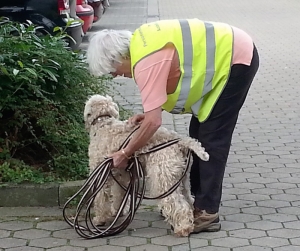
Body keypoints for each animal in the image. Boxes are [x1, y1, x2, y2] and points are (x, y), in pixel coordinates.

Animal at [82, 94, 209, 237]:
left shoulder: (101, 174)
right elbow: (119, 194)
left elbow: (100, 199)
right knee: (188, 199)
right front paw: (118, 211)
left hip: (163, 179)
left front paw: (100, 219)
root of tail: (180, 141)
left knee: (177, 204)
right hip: (182, 178)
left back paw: (183, 228)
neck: (103, 124)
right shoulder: (122, 176)